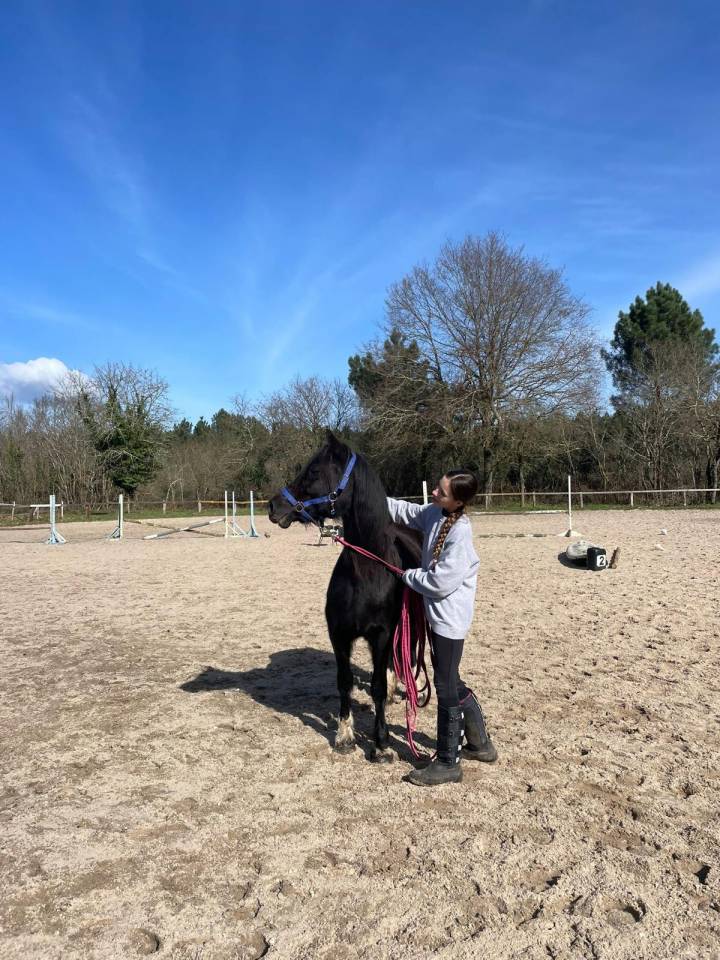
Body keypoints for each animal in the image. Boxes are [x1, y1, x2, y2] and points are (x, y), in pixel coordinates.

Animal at [267, 431, 423, 762]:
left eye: (314, 471)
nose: (273, 506)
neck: (366, 573)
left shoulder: (380, 634)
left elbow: (376, 686)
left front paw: (381, 744)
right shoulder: (339, 635)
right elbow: (345, 682)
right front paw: (344, 736)